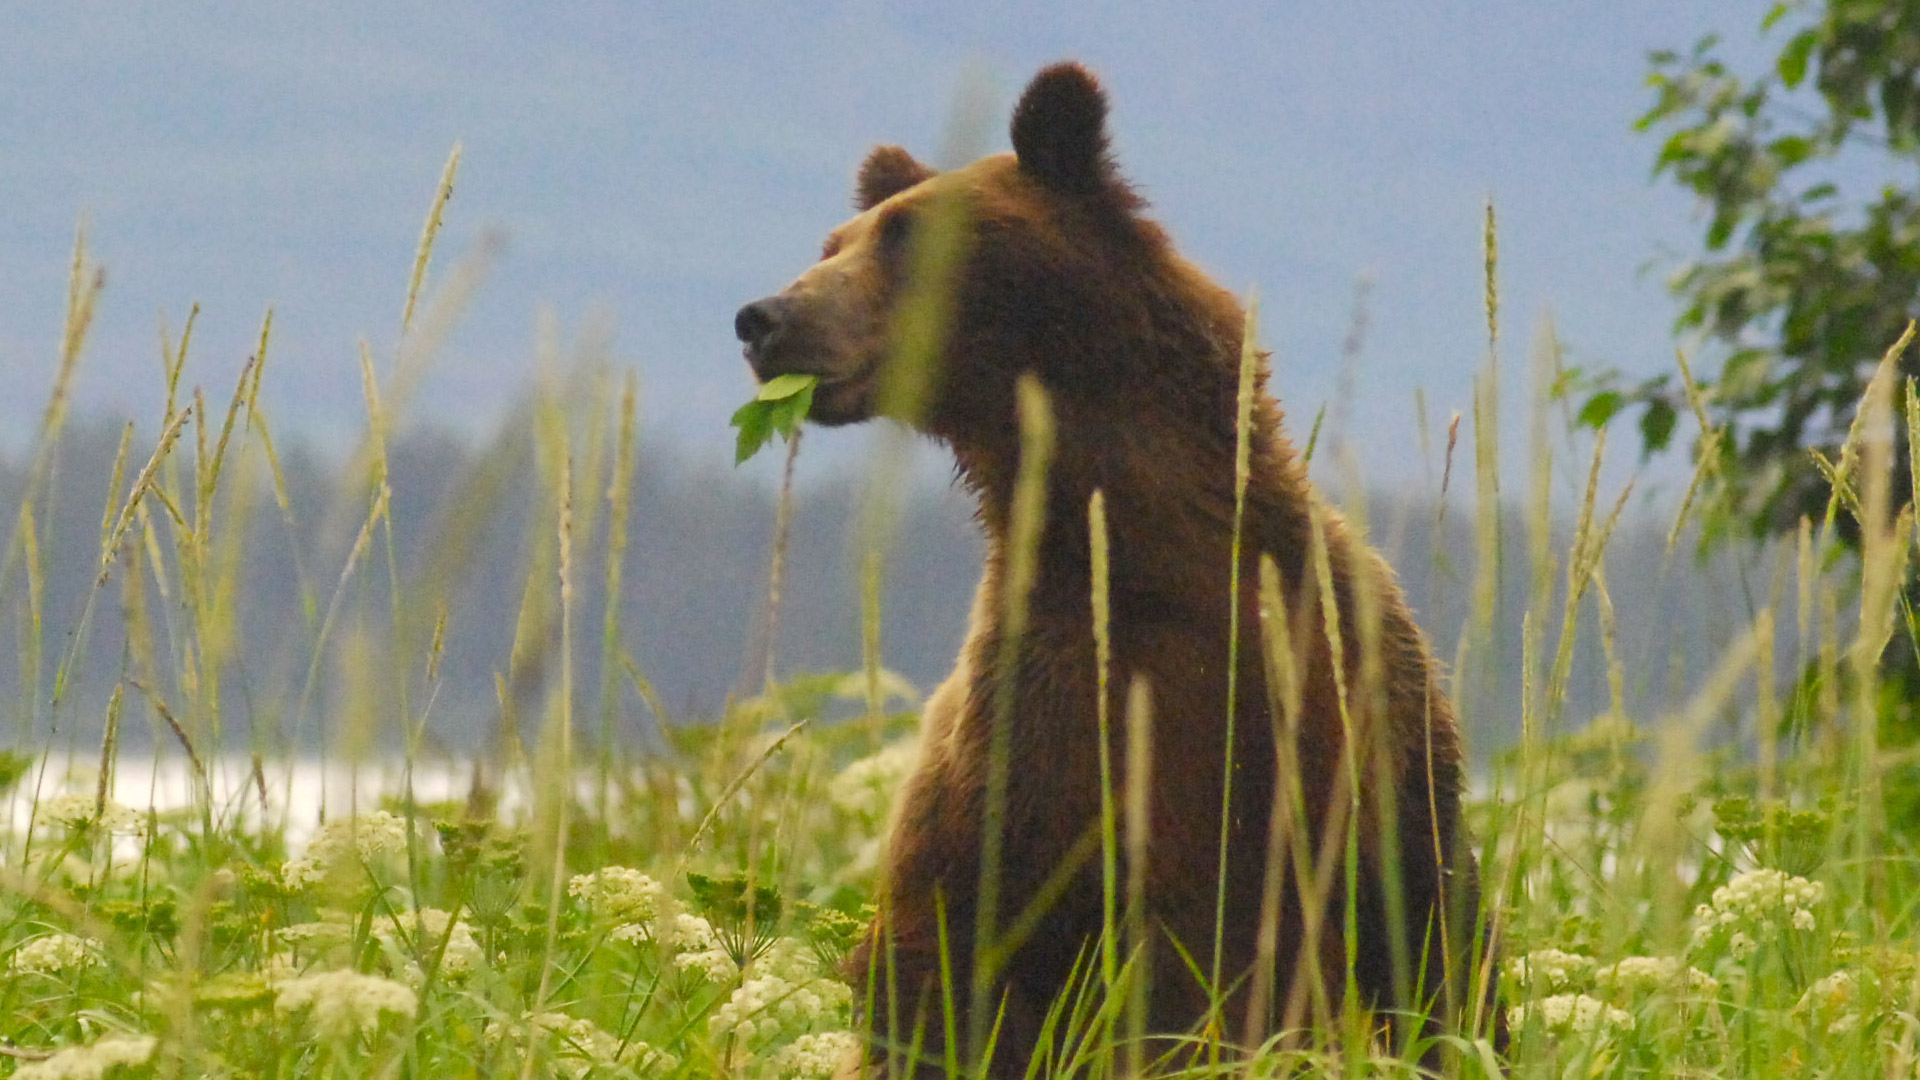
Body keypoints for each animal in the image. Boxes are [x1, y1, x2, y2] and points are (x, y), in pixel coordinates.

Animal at [734, 62, 1503, 1076]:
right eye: (833, 244)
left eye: (906, 237)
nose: (765, 318)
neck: (1146, 545)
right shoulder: (1044, 746)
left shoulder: (1331, 716)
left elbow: (1405, 945)